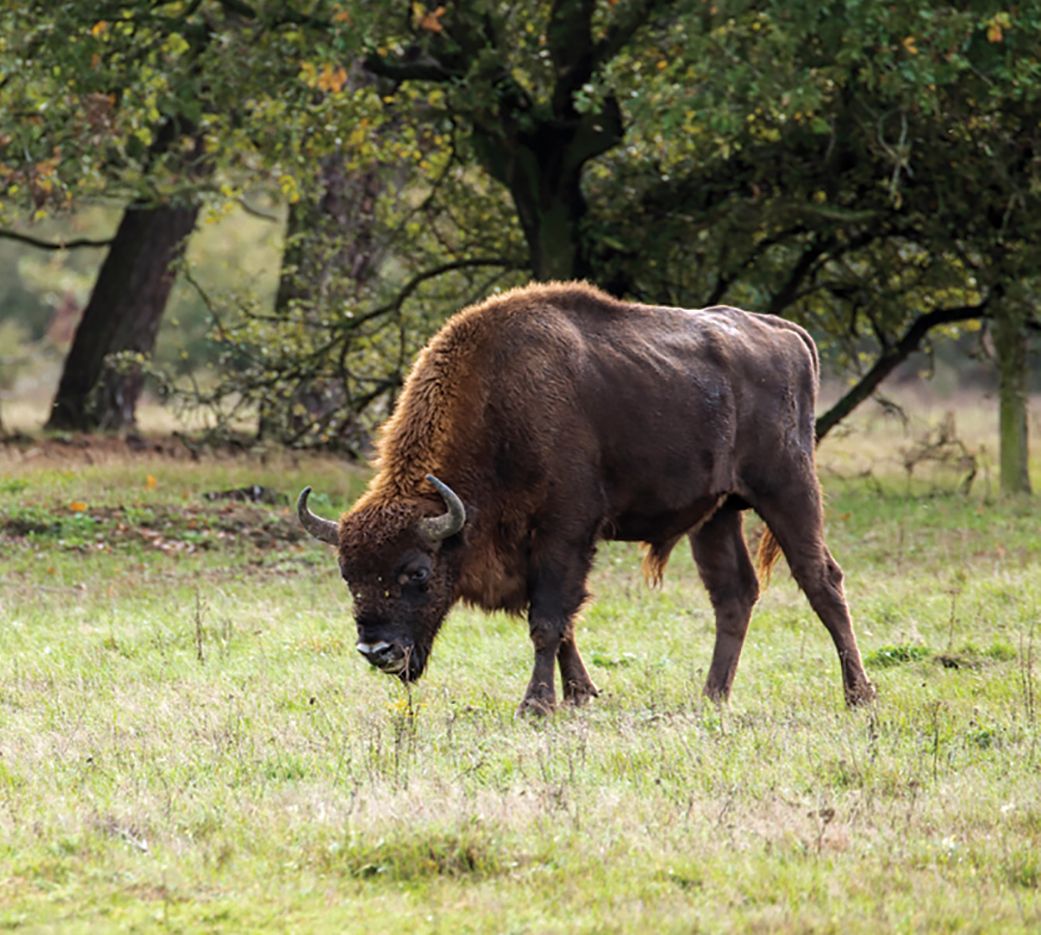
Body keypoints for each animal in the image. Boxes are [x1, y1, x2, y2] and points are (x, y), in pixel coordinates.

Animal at [297, 281, 874, 712]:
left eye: (416, 572)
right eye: (348, 574)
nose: (377, 650)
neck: (498, 403)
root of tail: (786, 331)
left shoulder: (564, 533)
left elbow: (548, 620)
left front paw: (537, 705)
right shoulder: (536, 550)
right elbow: (561, 624)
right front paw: (580, 695)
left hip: (789, 489)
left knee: (822, 580)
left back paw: (859, 696)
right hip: (717, 514)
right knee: (734, 594)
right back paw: (712, 696)